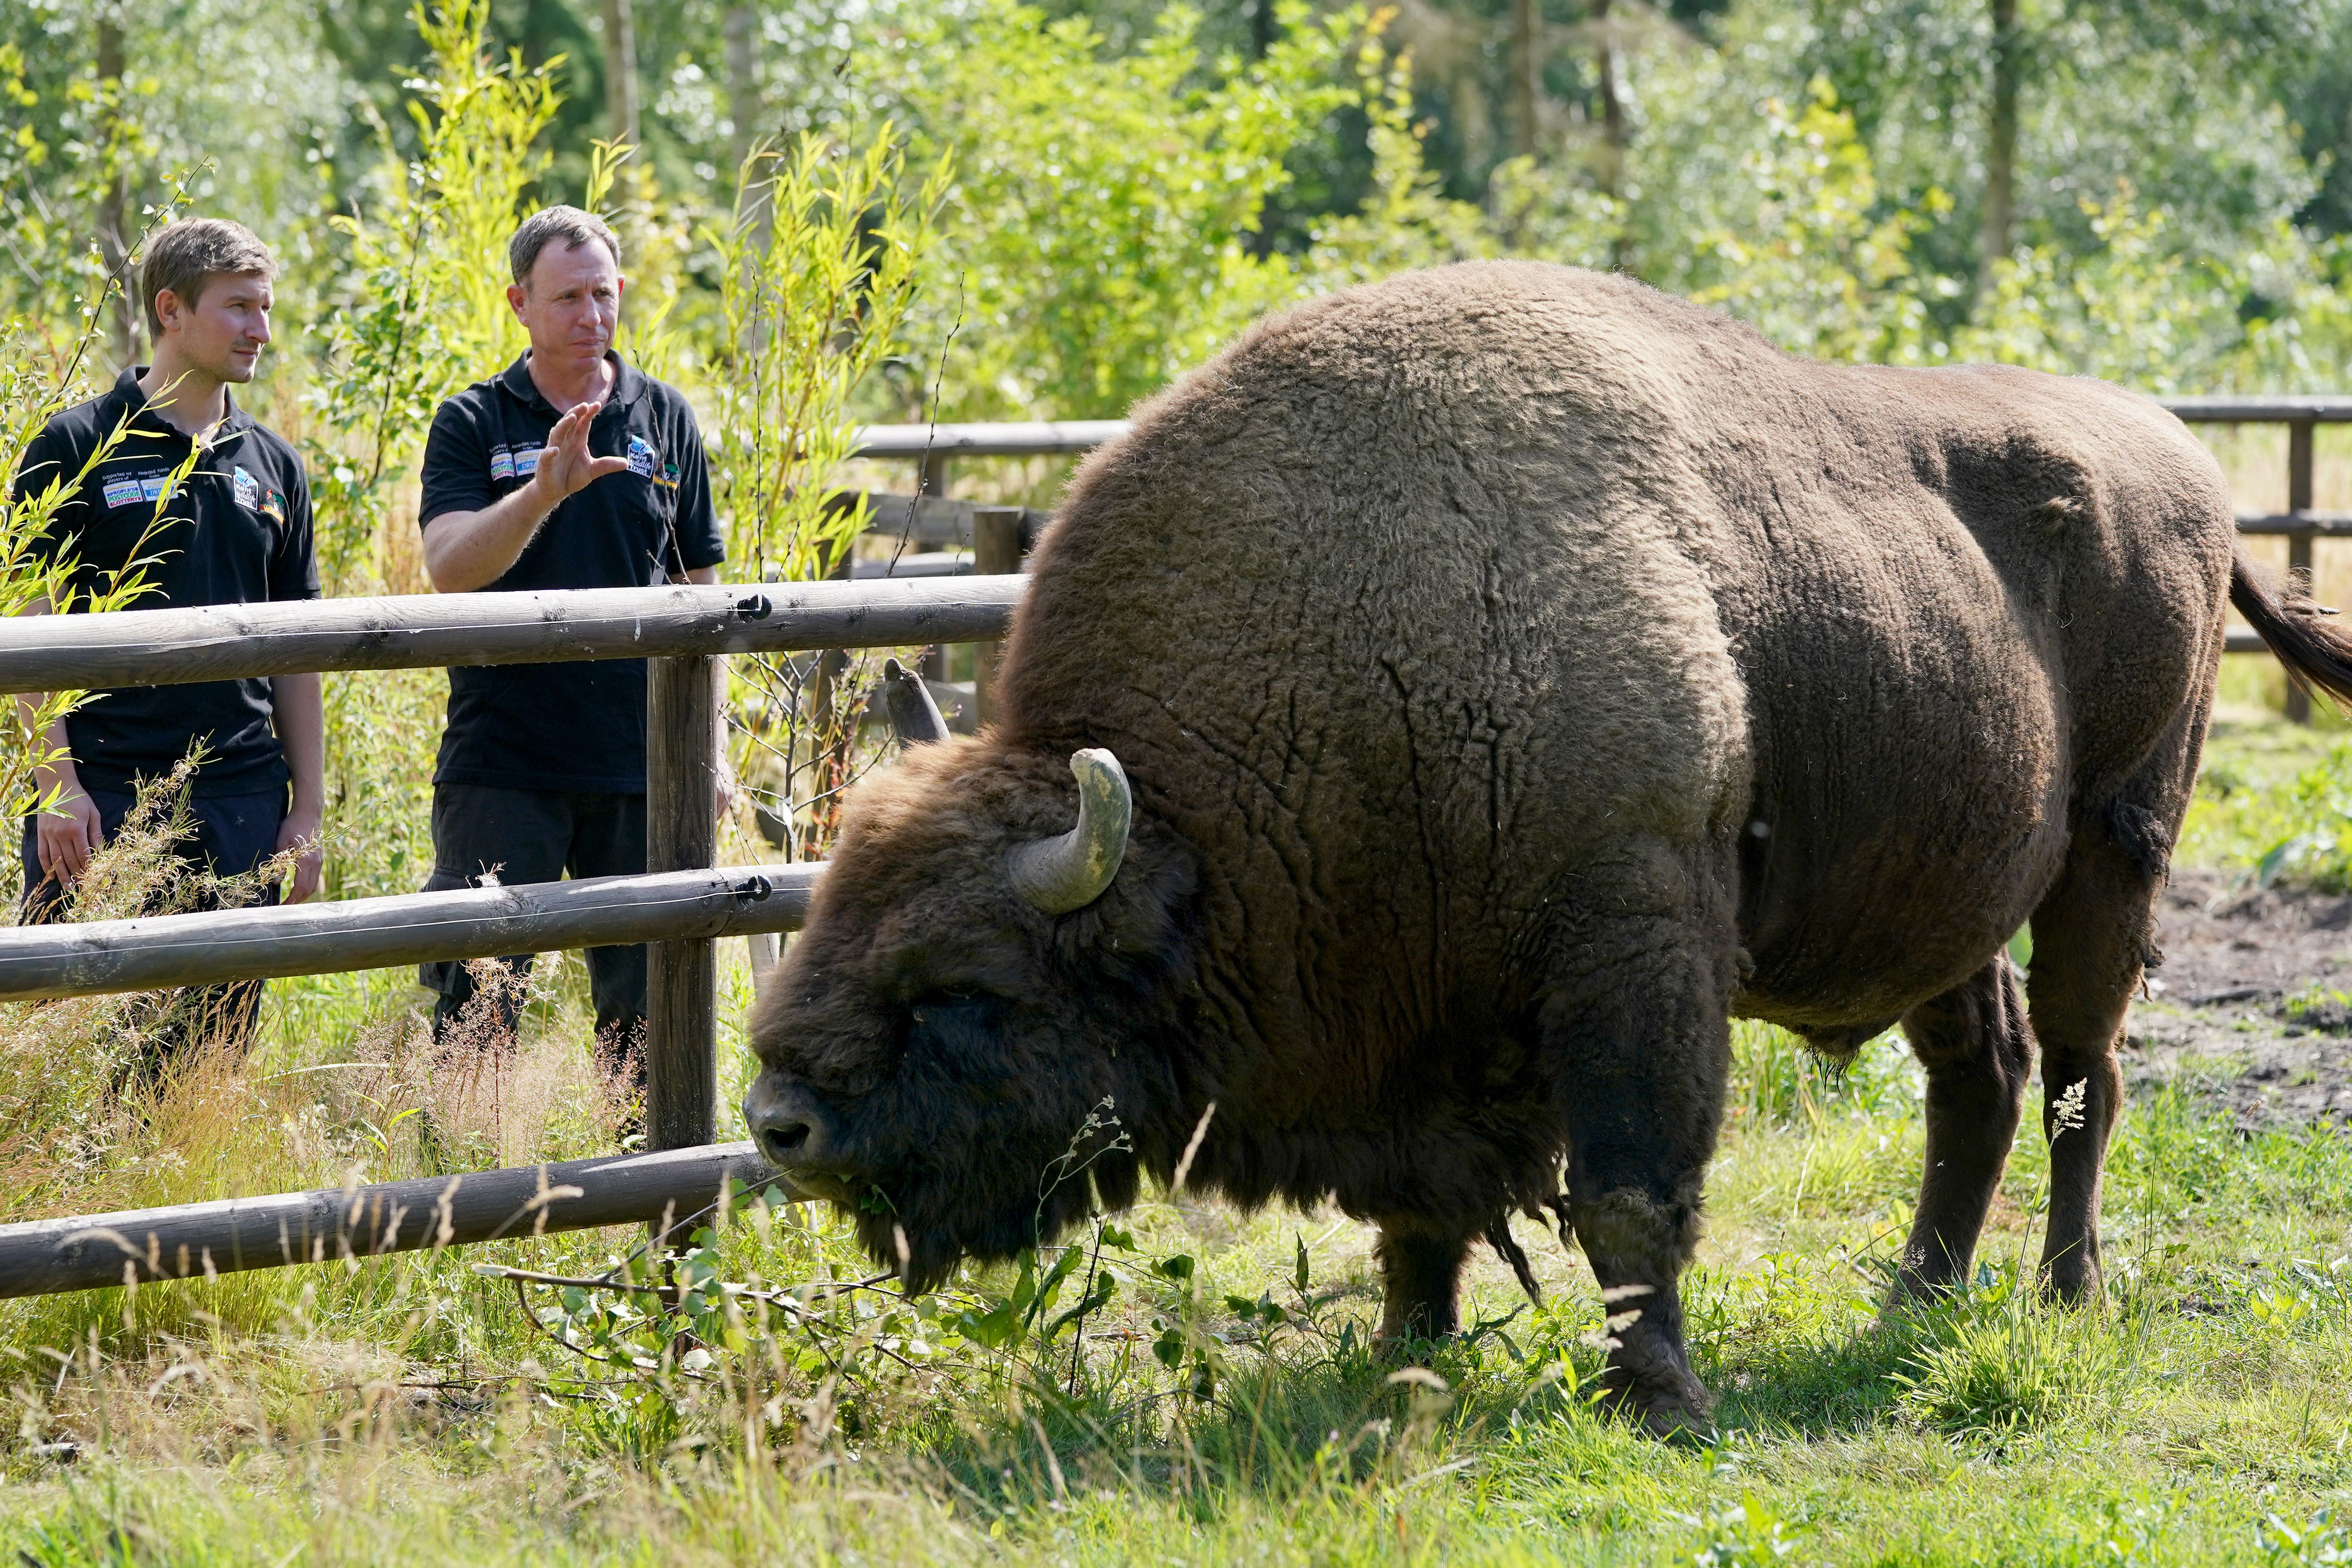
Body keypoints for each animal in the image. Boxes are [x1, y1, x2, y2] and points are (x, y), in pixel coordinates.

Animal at [743, 261, 2352, 1438]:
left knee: (2083, 1068)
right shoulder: (1406, 1026)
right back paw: (1911, 1301)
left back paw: (2061, 1294)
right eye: (829, 922)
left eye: (966, 986)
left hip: (2114, 846)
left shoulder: (1631, 944)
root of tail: (2183, 464)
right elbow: (1416, 1221)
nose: (779, 1127)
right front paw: (1404, 1365)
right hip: (1937, 890)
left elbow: (1629, 1195)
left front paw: (1658, 1401)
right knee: (1985, 1071)